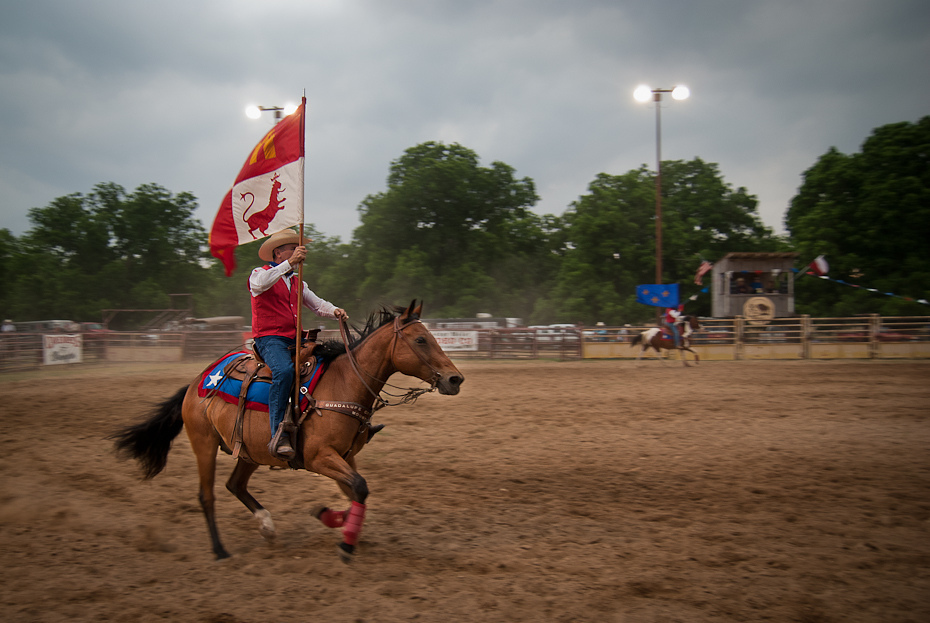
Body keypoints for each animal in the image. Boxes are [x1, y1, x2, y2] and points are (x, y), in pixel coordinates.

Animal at [114, 300, 462, 564]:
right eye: (420, 340)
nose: (455, 379)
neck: (344, 383)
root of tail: (197, 381)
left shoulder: (346, 456)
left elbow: (355, 492)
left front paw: (332, 520)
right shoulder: (319, 457)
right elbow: (359, 488)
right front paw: (345, 542)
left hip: (251, 451)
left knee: (234, 485)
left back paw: (267, 526)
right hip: (204, 443)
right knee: (207, 495)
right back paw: (220, 550)